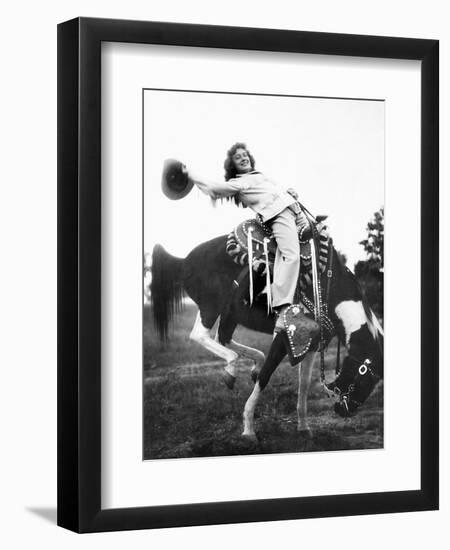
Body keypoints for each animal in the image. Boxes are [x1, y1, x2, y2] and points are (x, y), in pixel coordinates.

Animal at [151, 232, 384, 440]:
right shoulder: (283, 337)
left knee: (223, 338)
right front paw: (248, 429)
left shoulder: (310, 344)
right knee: (200, 335)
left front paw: (303, 427)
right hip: (211, 306)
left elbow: (304, 385)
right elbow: (266, 376)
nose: (345, 411)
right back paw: (231, 370)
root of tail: (184, 261)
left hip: (230, 314)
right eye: (366, 376)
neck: (326, 288)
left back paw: (249, 364)